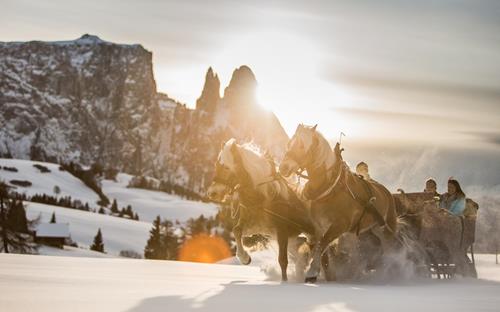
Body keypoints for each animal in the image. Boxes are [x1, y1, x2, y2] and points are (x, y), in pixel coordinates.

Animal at [206, 138, 314, 280]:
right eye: (217, 165)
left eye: (226, 167)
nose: (212, 193)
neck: (262, 198)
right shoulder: (257, 228)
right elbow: (237, 230)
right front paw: (244, 258)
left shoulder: (282, 231)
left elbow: (283, 261)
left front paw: (284, 281)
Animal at [280, 124, 396, 282]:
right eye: (289, 143)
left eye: (302, 145)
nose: (283, 167)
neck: (330, 187)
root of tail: (385, 191)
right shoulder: (318, 227)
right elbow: (321, 250)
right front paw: (327, 276)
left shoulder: (340, 226)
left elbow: (323, 244)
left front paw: (312, 272)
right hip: (370, 229)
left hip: (388, 226)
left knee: (392, 247)